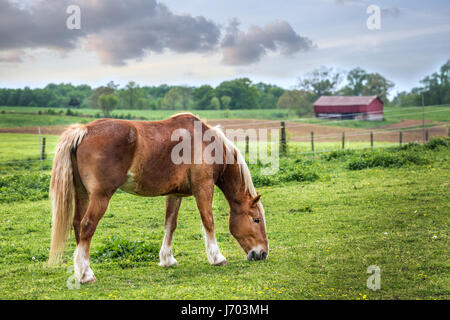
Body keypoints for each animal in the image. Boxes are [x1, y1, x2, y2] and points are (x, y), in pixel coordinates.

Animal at [48, 114, 268, 284]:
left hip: (82, 194)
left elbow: (170, 225)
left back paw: (82, 271)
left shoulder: (175, 194)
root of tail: (84, 130)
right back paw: (86, 275)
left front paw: (167, 259)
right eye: (256, 220)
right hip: (100, 197)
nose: (263, 253)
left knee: (78, 225)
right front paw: (217, 257)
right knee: (87, 226)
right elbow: (208, 221)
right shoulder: (204, 188)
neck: (207, 143)